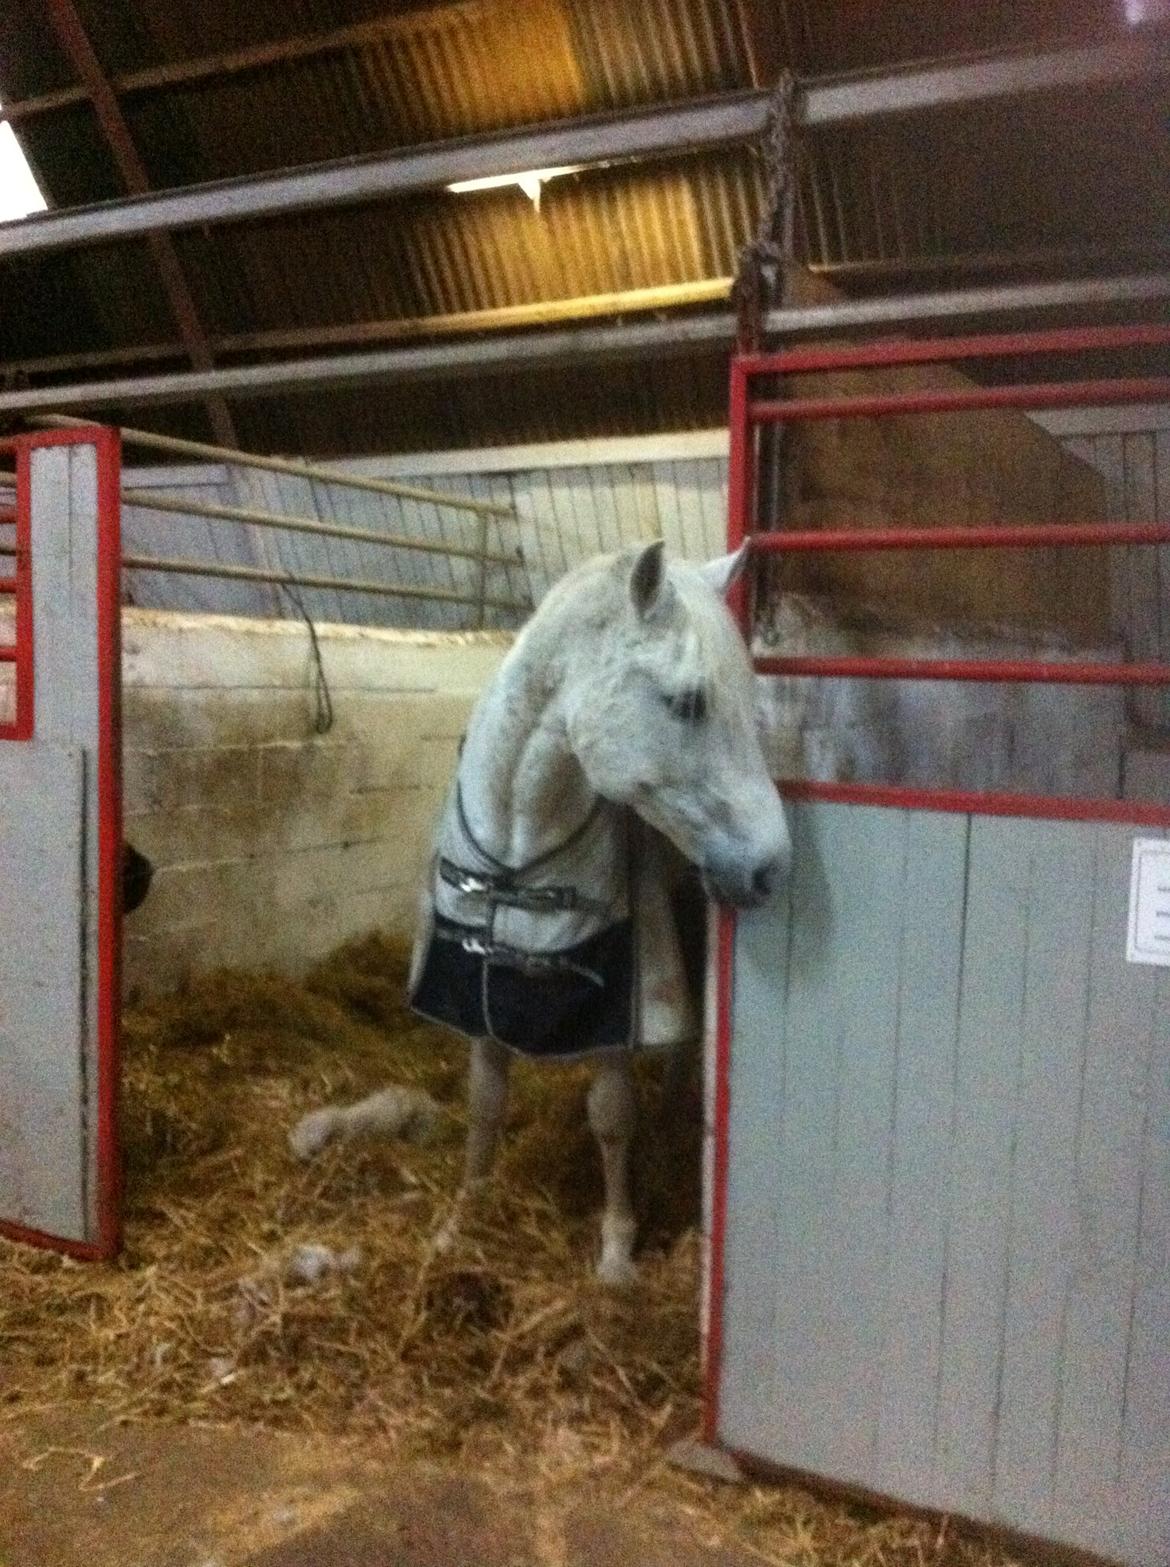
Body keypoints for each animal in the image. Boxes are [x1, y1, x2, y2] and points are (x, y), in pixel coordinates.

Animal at [291, 540, 791, 1286]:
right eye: (688, 701)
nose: (771, 865)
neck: (519, 846)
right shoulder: (478, 1010)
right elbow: (485, 1107)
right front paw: (463, 1219)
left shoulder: (613, 1023)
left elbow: (611, 1119)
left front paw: (616, 1254)